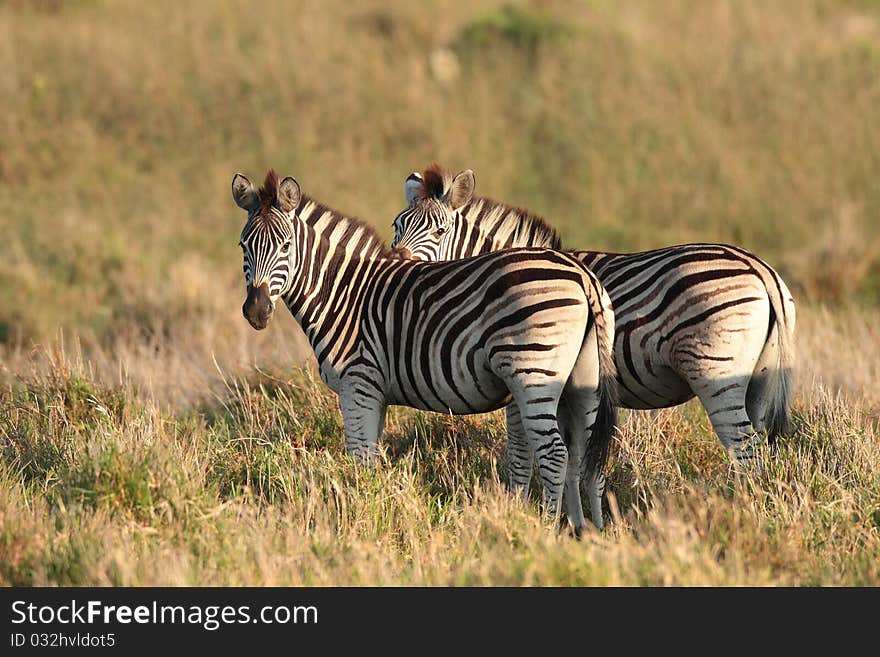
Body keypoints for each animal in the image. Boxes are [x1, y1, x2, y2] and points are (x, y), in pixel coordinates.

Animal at [234, 169, 620, 532]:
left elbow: (360, 460)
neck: (346, 292)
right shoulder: (377, 394)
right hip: (583, 383)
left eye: (285, 246)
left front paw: (361, 519)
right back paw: (587, 530)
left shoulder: (358, 385)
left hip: (533, 374)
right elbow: (372, 457)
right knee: (586, 454)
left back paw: (546, 528)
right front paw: (375, 510)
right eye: (242, 246)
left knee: (554, 454)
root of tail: (582, 273)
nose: (256, 311)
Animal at [392, 163, 796, 472]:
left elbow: (521, 451)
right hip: (759, 379)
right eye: (397, 225)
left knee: (744, 450)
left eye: (440, 231)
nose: (397, 259)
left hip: (716, 371)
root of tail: (762, 271)